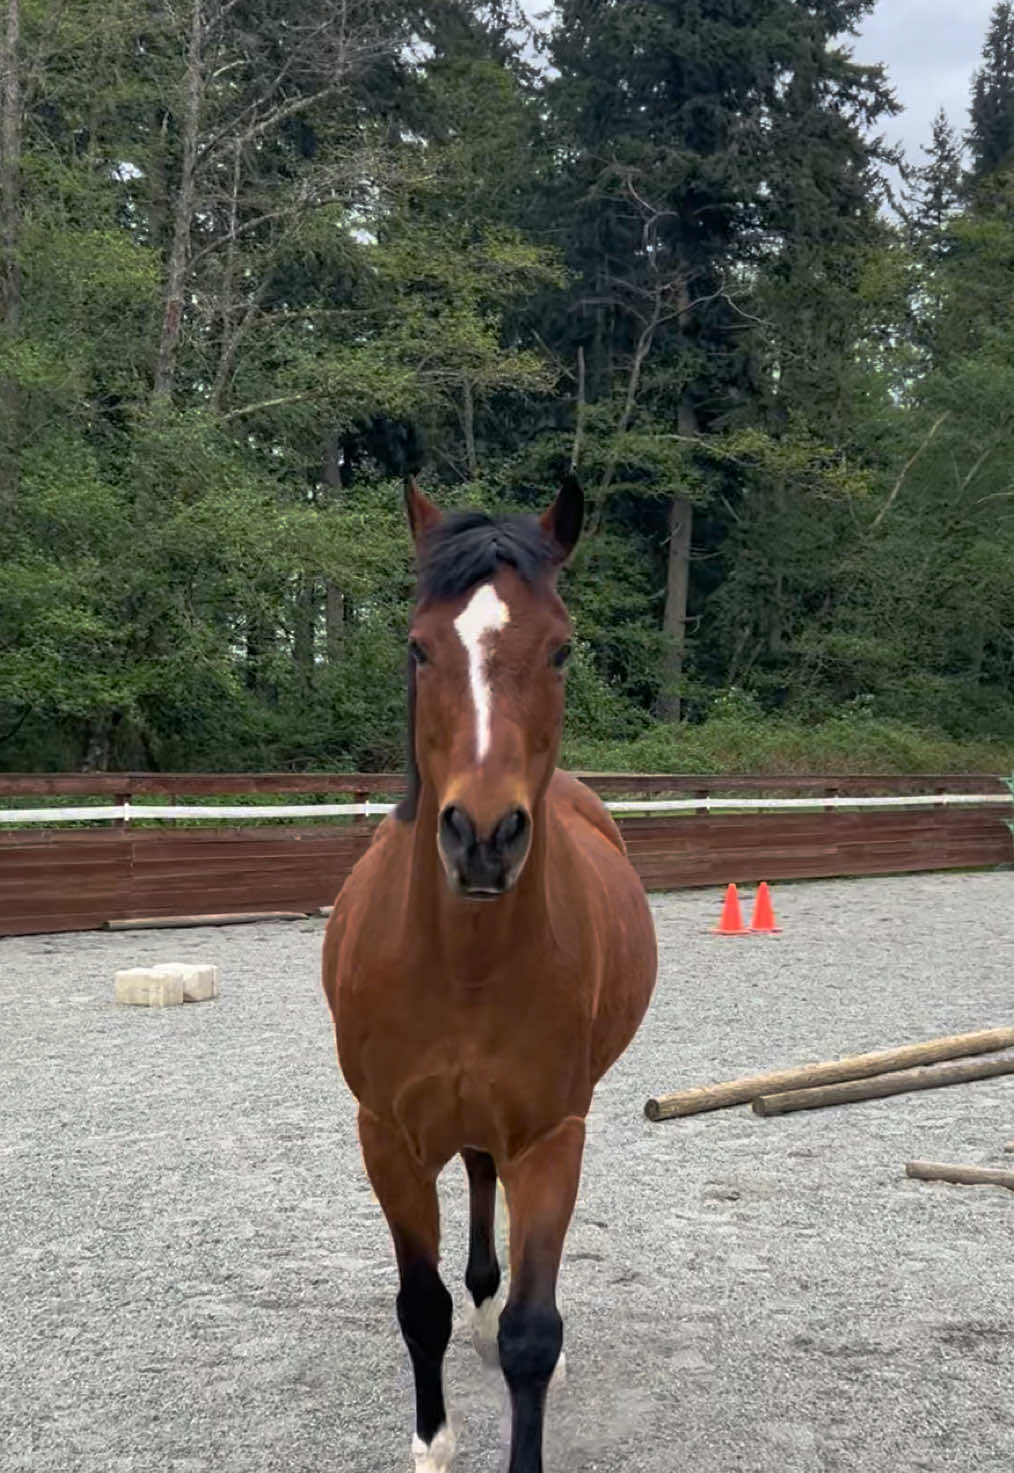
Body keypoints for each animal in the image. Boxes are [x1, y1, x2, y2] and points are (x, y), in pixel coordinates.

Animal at [321, 475, 658, 1473]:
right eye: (418, 645)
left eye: (561, 647)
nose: (481, 835)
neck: (462, 964)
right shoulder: (387, 1138)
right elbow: (419, 1305)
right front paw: (433, 1442)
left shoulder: (551, 1137)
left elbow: (534, 1335)